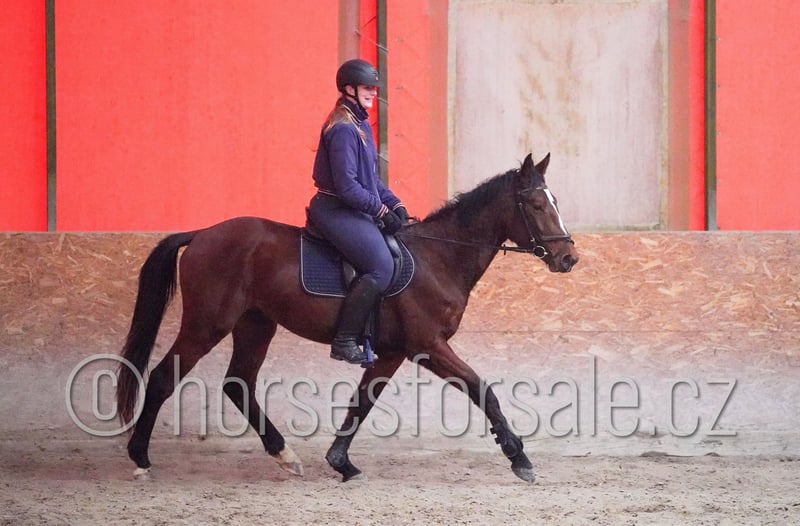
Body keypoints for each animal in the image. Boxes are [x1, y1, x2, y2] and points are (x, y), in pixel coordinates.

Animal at [116, 153, 579, 483]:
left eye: (556, 202)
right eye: (536, 204)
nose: (568, 258)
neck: (439, 257)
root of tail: (202, 234)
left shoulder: (392, 352)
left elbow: (363, 401)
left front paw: (340, 461)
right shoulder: (428, 346)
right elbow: (483, 390)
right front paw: (519, 456)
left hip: (256, 324)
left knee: (238, 383)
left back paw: (284, 455)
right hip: (207, 324)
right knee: (163, 377)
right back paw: (140, 457)